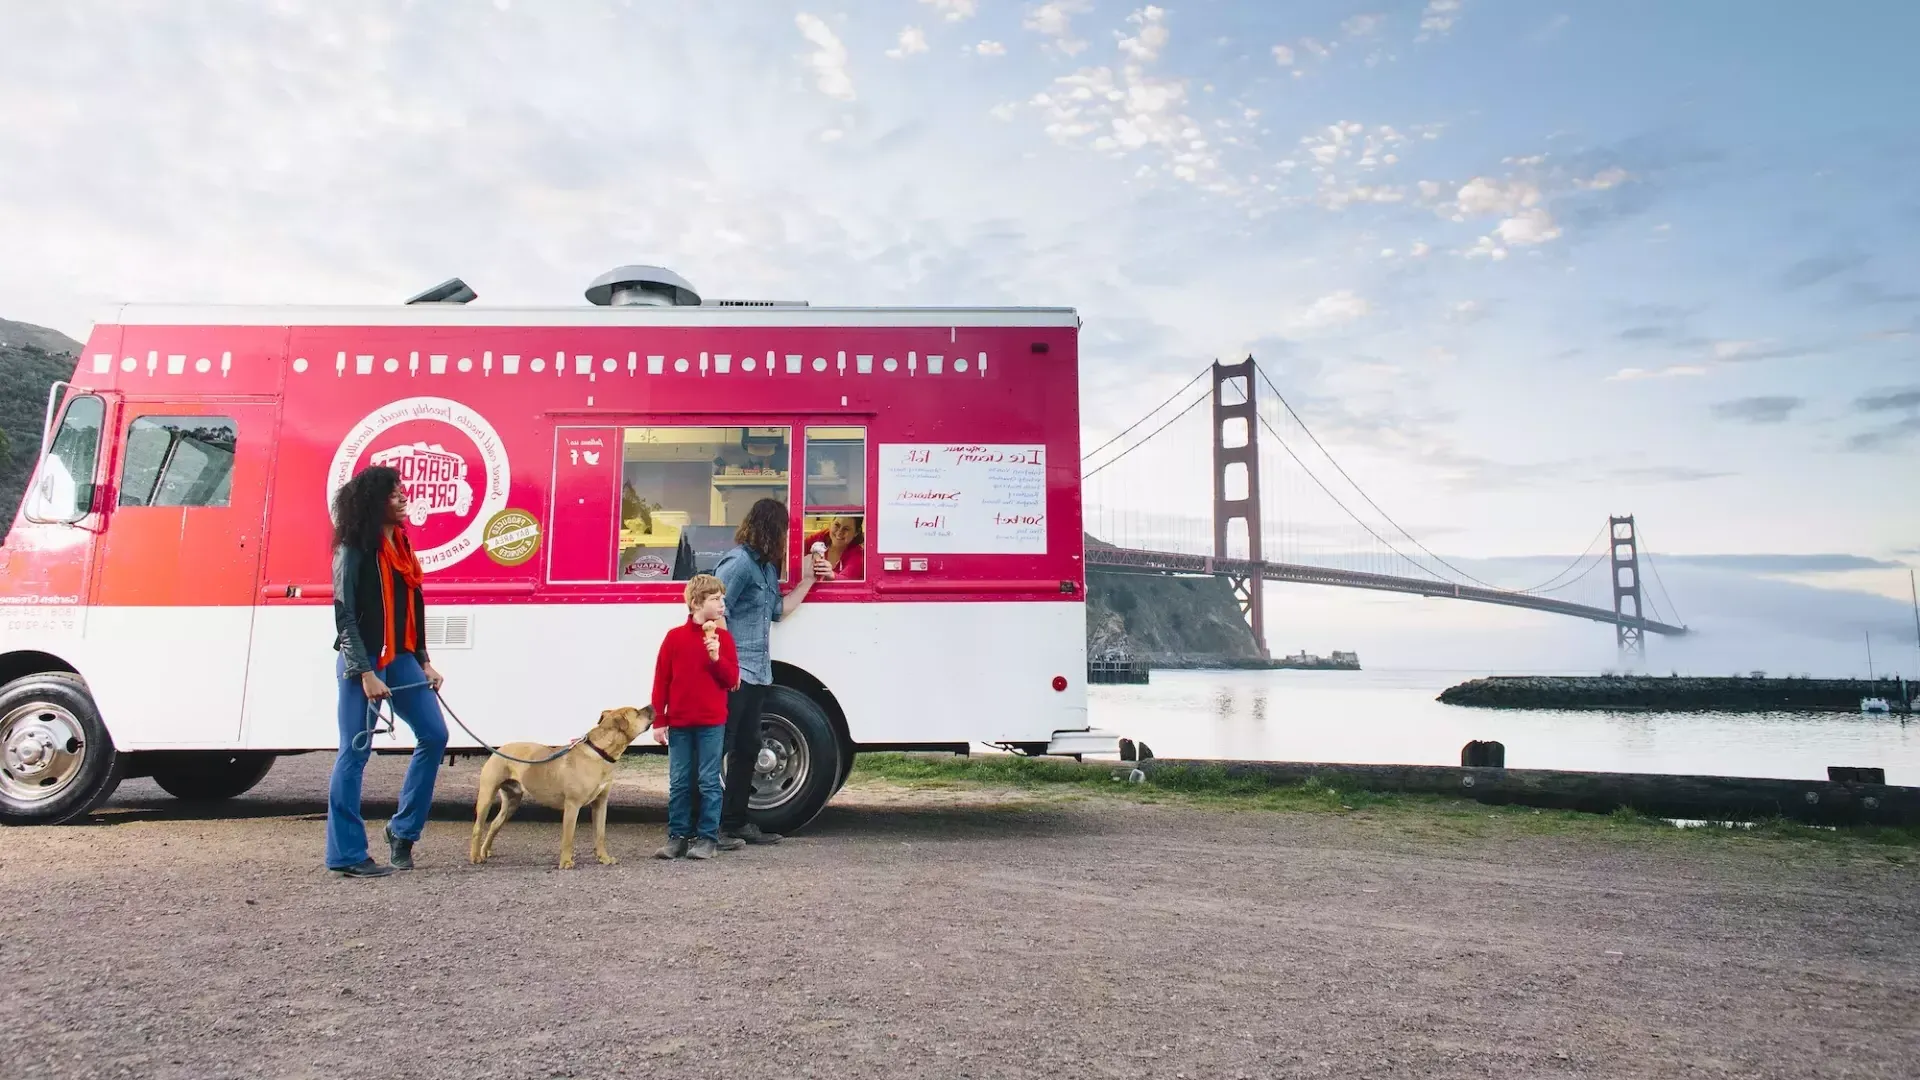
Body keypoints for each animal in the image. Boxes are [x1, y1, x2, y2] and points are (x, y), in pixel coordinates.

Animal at [470, 707, 652, 864]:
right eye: (637, 712)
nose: (651, 706)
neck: (599, 752)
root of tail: (498, 750)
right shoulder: (572, 805)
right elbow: (568, 837)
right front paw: (566, 862)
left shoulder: (600, 804)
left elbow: (600, 835)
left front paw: (604, 858)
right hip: (487, 796)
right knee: (478, 827)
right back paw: (475, 856)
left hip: (511, 802)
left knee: (494, 824)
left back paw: (485, 851)